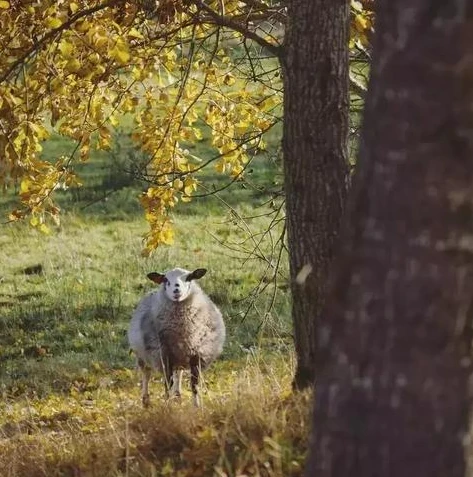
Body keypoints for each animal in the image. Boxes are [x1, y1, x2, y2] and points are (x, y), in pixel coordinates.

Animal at [128, 268, 226, 406]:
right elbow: (167, 384)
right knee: (146, 374)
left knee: (178, 372)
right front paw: (168, 405)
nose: (176, 290)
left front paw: (197, 406)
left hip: (180, 356)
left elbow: (194, 385)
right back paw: (146, 400)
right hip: (142, 354)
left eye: (189, 278)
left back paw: (178, 394)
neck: (182, 331)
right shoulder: (164, 356)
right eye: (165, 279)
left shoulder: (197, 355)